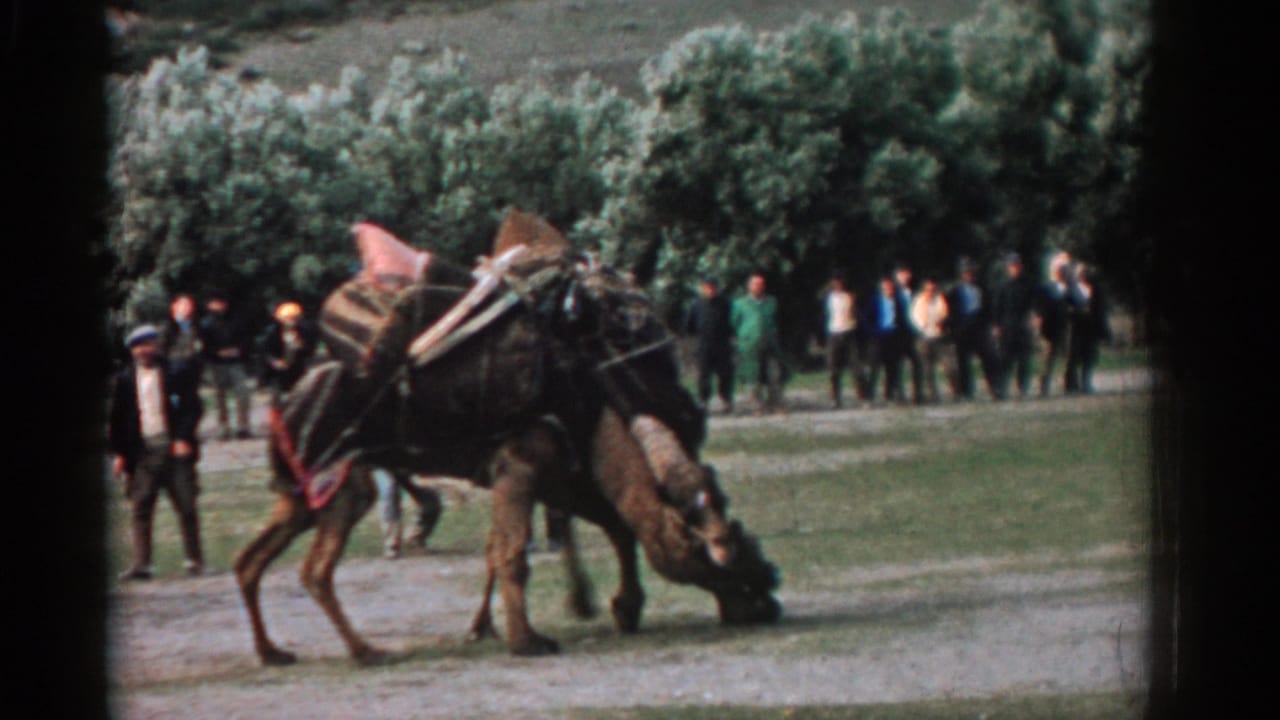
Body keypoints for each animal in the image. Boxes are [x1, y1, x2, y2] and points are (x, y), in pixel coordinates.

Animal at [234, 212, 779, 665]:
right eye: (723, 551)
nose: (769, 595)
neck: (594, 397)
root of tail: (284, 407)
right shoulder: (525, 462)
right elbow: (515, 554)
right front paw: (530, 640)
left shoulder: (559, 473)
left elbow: (568, 535)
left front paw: (595, 610)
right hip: (343, 482)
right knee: (315, 570)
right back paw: (366, 651)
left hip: (302, 492)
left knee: (249, 561)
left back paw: (273, 651)